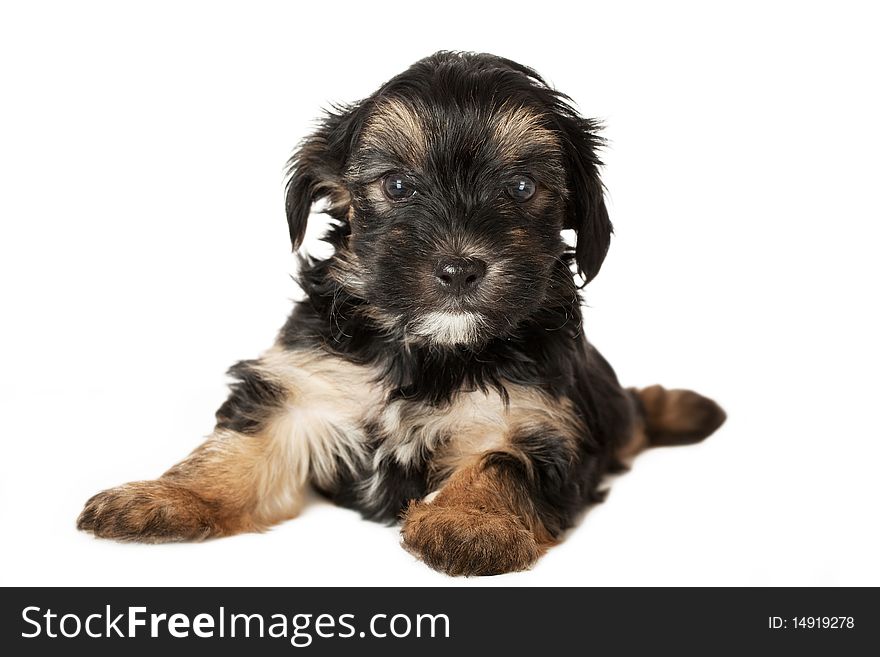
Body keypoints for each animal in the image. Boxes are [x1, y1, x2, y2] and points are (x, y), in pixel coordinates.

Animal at [75, 51, 724, 576]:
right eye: (398, 187)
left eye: (520, 187)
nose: (459, 269)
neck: (426, 347)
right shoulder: (302, 384)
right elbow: (239, 446)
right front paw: (167, 499)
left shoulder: (539, 418)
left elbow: (502, 460)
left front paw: (469, 524)